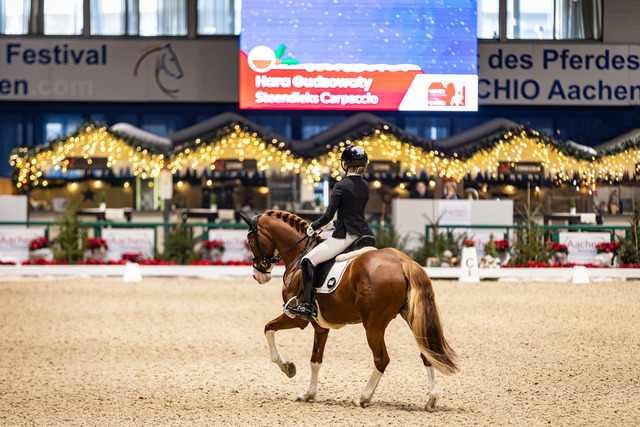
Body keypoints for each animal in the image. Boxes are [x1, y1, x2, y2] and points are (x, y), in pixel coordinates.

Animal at [240, 210, 458, 410]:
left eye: (250, 240)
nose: (259, 275)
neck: (299, 254)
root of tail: (405, 262)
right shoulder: (320, 326)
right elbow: (315, 360)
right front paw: (309, 394)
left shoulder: (296, 317)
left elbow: (268, 329)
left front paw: (287, 367)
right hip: (412, 318)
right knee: (427, 353)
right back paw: (431, 399)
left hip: (373, 325)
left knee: (382, 359)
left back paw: (363, 398)